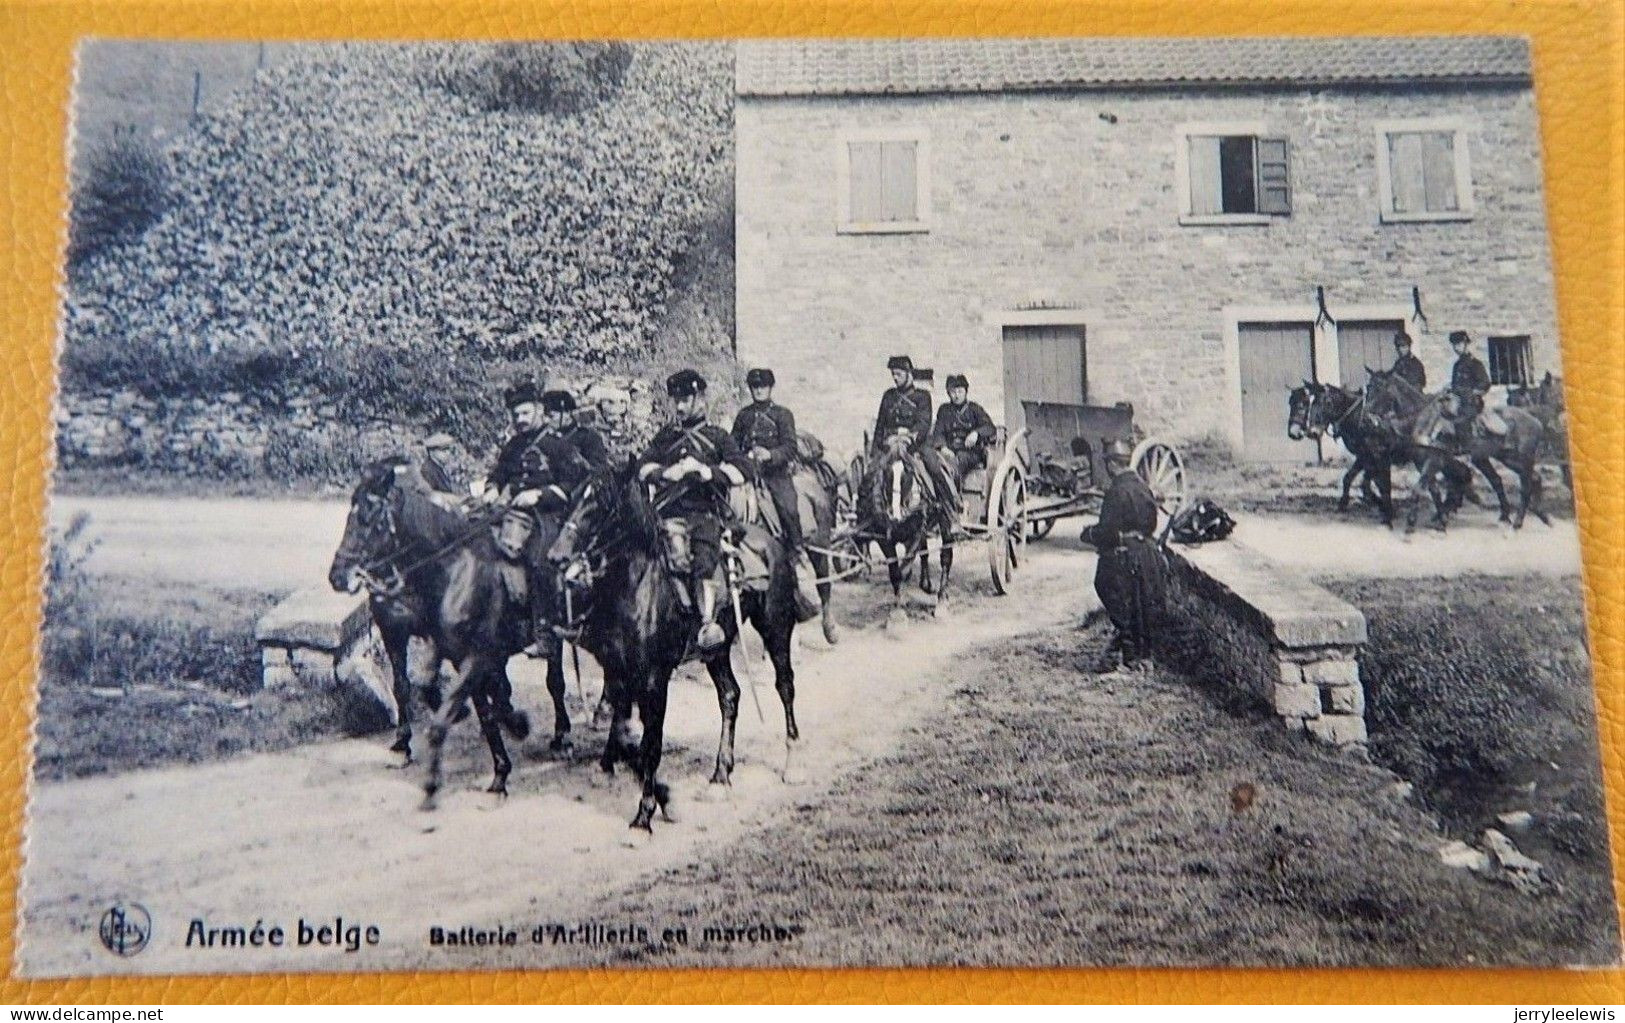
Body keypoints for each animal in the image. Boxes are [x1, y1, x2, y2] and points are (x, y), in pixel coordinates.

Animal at [323, 457, 565, 808]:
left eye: (372, 522)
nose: (338, 577)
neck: (456, 573)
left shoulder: (473, 656)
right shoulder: (424, 642)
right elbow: (421, 690)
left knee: (557, 681)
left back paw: (563, 735)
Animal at [546, 467, 799, 837]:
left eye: (600, 505)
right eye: (575, 496)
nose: (556, 556)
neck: (637, 585)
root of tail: (771, 541)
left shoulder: (654, 679)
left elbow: (650, 745)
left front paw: (645, 815)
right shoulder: (618, 671)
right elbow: (624, 730)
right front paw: (632, 779)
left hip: (776, 628)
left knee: (785, 687)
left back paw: (791, 762)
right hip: (717, 649)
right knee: (730, 695)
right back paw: (720, 775)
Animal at [851, 435, 949, 620]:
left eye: (908, 471)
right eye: (886, 471)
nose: (895, 513)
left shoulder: (915, 535)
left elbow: (903, 570)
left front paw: (900, 607)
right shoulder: (884, 539)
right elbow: (895, 573)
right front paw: (898, 608)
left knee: (946, 557)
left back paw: (941, 598)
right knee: (924, 553)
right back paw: (925, 584)